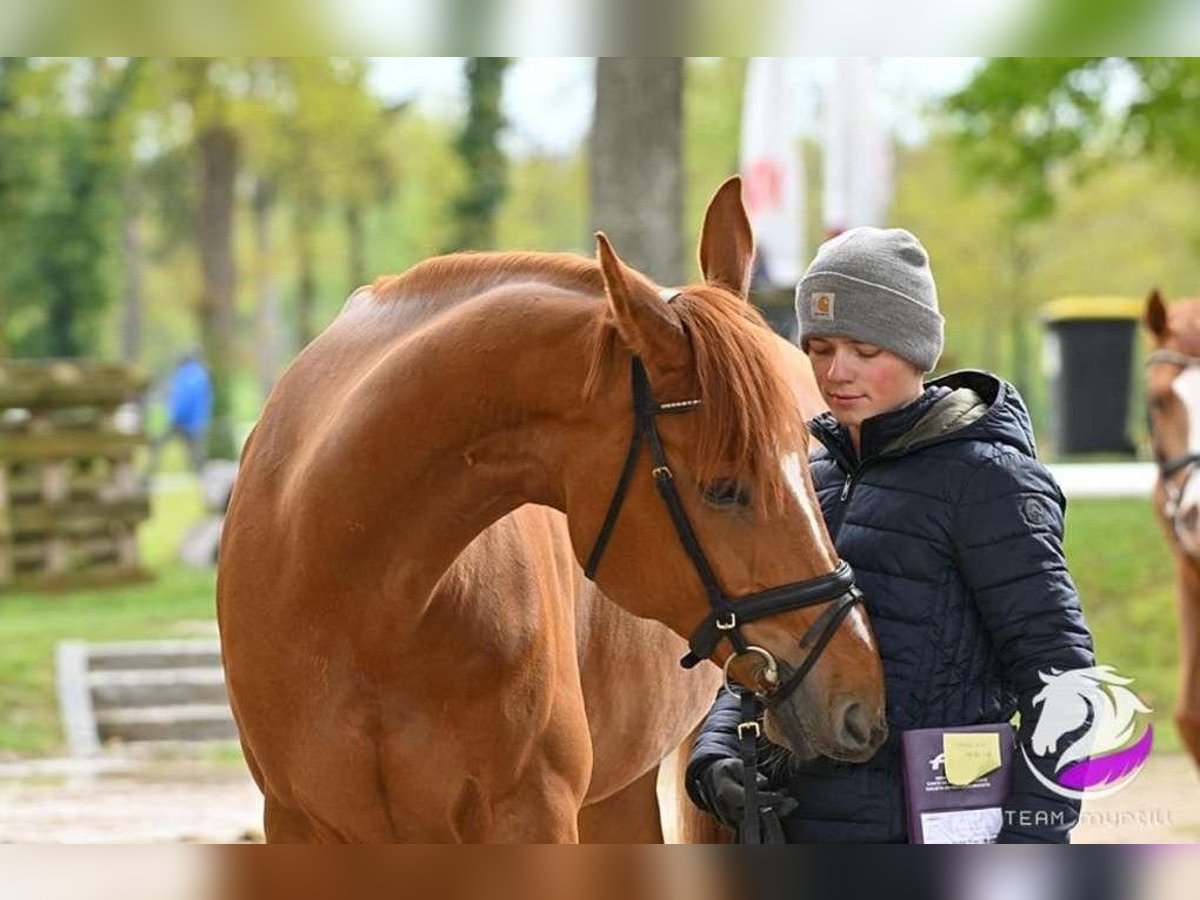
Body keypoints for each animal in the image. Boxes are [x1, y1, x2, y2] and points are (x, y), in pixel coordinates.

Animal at [216, 180, 888, 844]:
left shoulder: (532, 813)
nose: (860, 695)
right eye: (725, 488)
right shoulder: (298, 822)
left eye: (808, 462)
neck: (362, 601)